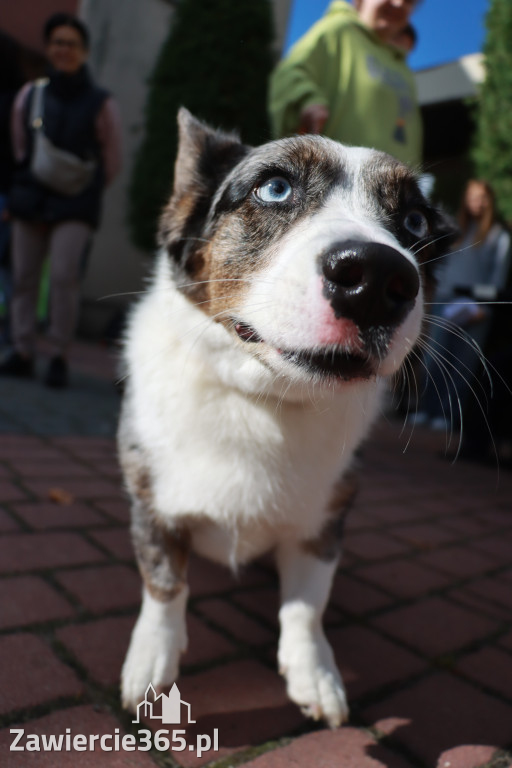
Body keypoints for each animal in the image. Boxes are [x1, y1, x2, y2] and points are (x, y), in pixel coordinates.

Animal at [119, 108, 452, 728]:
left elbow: (306, 605)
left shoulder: (324, 521)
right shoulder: (153, 505)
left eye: (414, 220)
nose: (376, 279)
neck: (265, 398)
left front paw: (313, 672)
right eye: (275, 188)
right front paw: (152, 660)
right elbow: (164, 585)